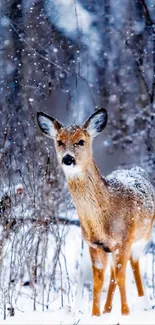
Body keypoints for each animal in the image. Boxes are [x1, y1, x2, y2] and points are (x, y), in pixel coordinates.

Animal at [36, 107, 155, 316]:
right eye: (59, 141)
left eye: (81, 141)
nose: (68, 158)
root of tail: (136, 169)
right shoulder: (94, 244)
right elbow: (99, 280)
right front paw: (95, 315)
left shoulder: (124, 239)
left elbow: (122, 275)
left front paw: (125, 313)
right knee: (113, 273)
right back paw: (108, 309)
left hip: (144, 236)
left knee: (133, 265)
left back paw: (144, 303)